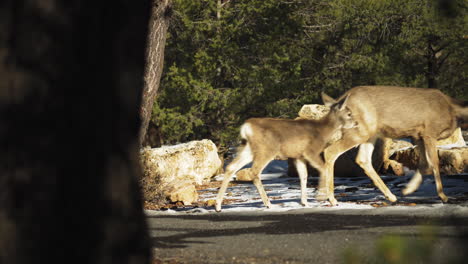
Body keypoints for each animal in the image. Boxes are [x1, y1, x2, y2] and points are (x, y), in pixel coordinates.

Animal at [214, 94, 356, 211]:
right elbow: (324, 169)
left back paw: (218, 206)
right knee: (254, 172)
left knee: (231, 167)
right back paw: (268, 203)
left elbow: (303, 175)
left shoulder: (298, 156)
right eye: (349, 113)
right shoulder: (311, 151)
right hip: (267, 150)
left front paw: (304, 202)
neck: (322, 131)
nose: (356, 122)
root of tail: (246, 127)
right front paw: (330, 200)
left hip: (248, 149)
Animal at [318, 85, 468, 205]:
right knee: (330, 151)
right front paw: (443, 196)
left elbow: (425, 164)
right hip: (359, 130)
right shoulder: (429, 132)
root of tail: (338, 101)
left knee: (362, 159)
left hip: (370, 133)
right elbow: (435, 163)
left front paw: (408, 189)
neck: (453, 111)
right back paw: (331, 199)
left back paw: (391, 196)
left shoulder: (417, 136)